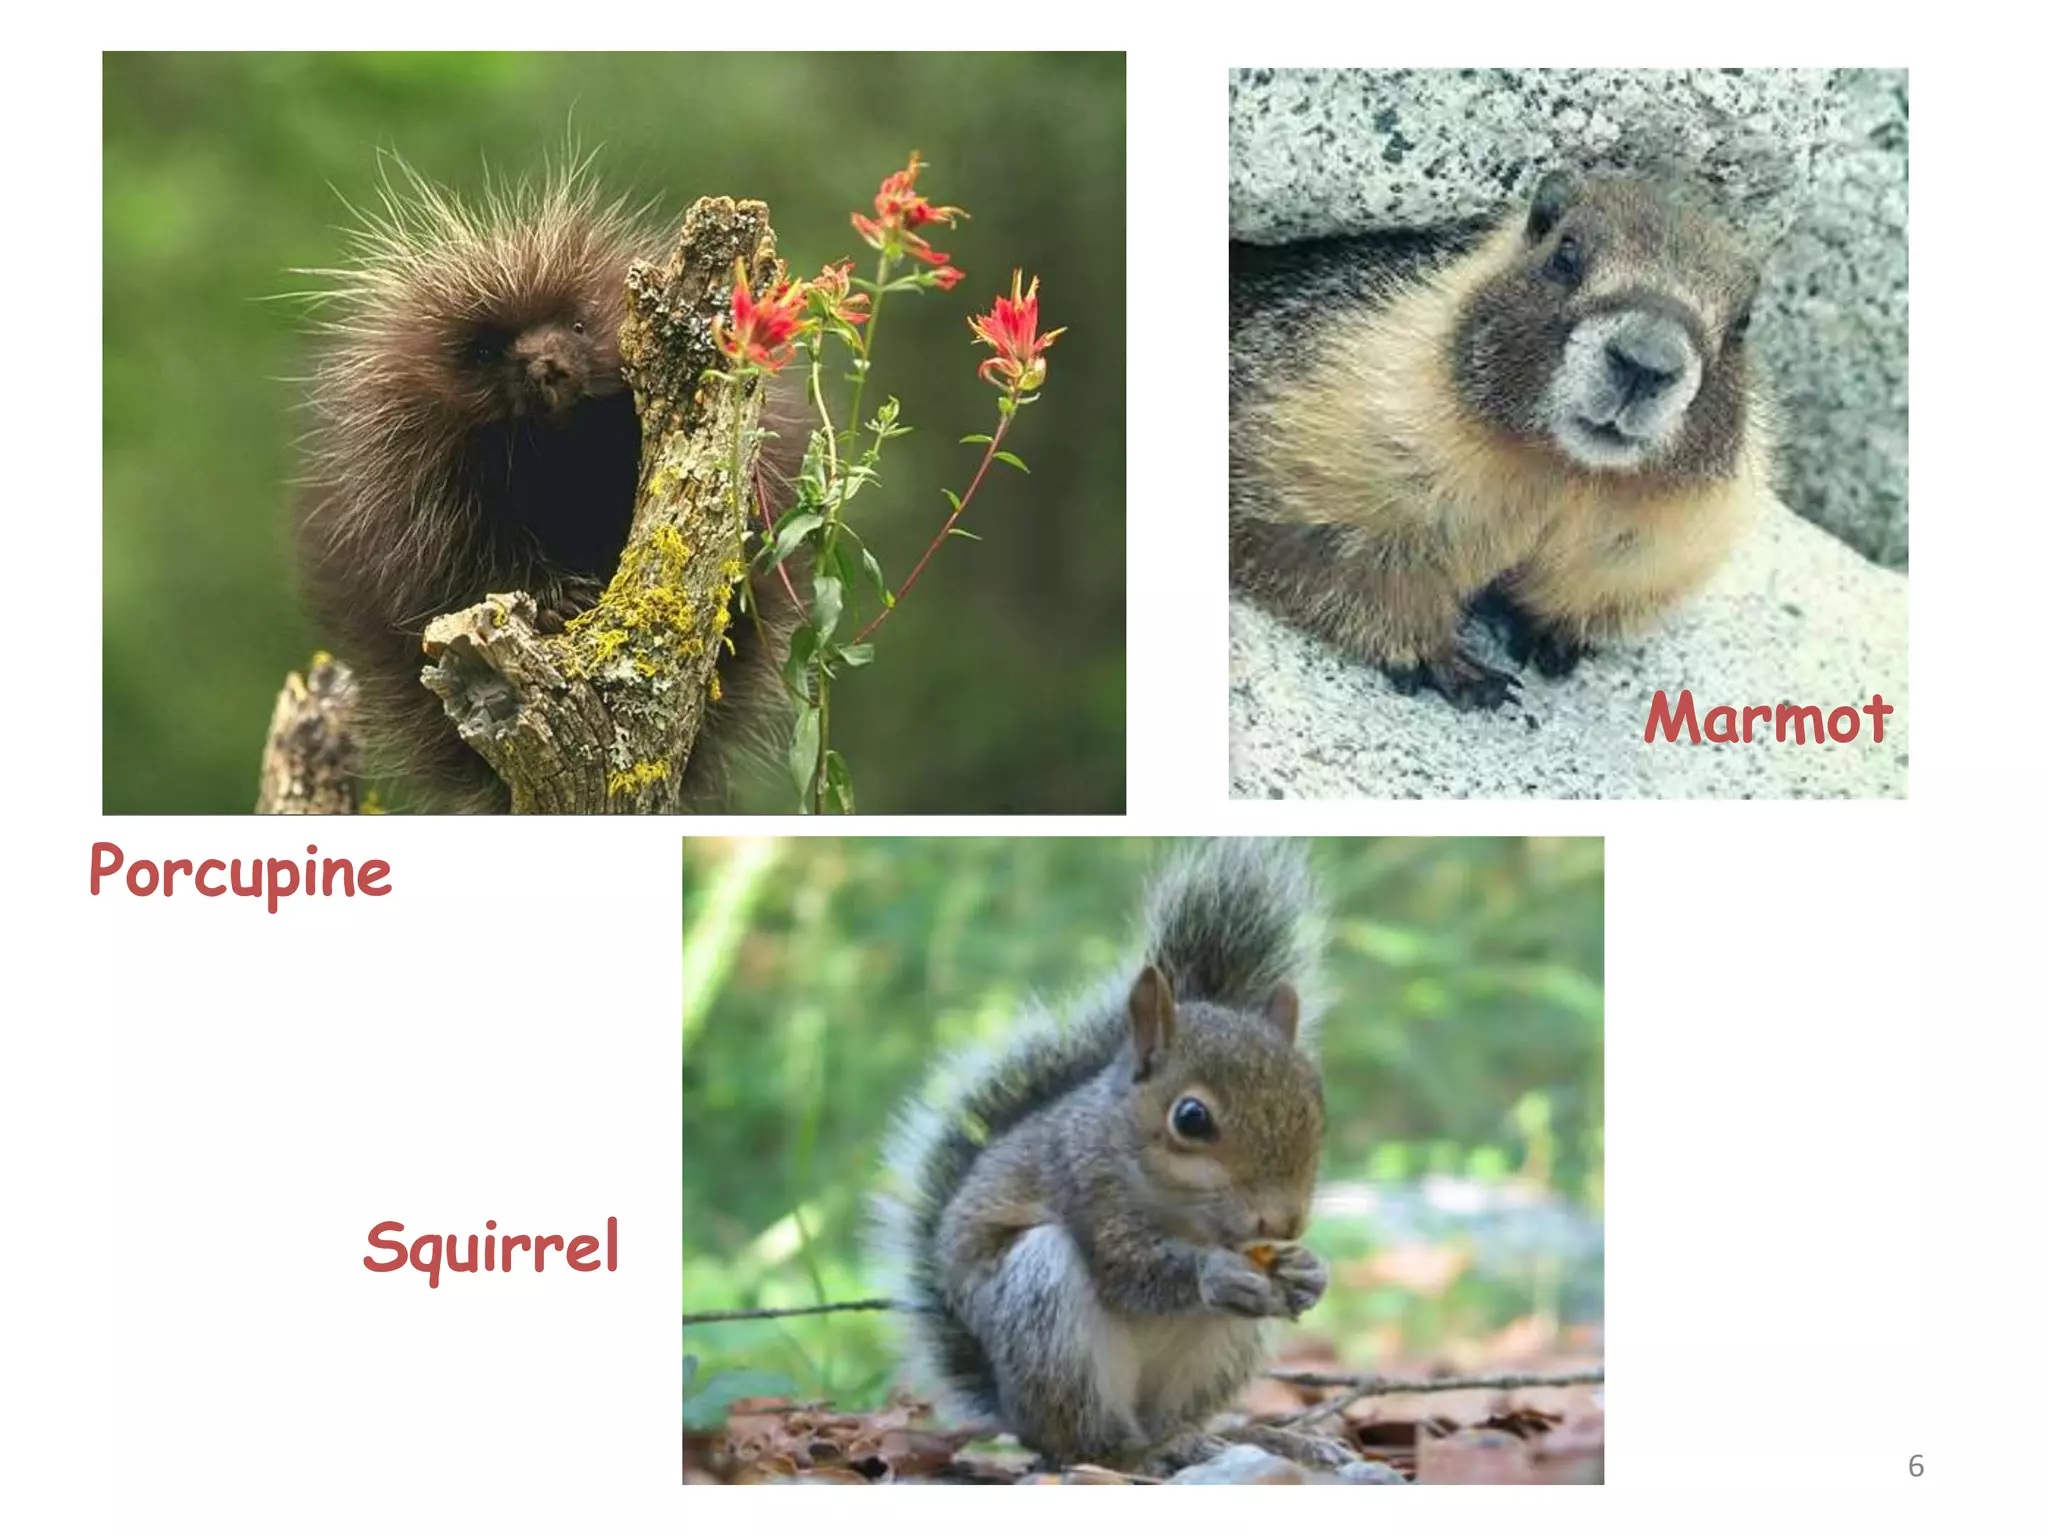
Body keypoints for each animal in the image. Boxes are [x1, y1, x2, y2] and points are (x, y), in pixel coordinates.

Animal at [870, 840, 1351, 1473]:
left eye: (1316, 1103)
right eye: (1190, 1118)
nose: (1284, 1222)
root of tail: (1014, 1413)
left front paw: (1310, 1271)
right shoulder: (1083, 1184)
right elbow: (1128, 1269)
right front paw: (1214, 1274)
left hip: (1220, 1354)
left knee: (1178, 1420)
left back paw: (1251, 1440)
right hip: (1043, 1308)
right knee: (1093, 1443)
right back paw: (1144, 1454)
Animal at [1231, 168, 1769, 710]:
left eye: (1743, 321)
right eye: (1565, 255)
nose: (1646, 361)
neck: (1561, 471)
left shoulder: (1663, 535)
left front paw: (1556, 638)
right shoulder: (1355, 416)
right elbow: (1336, 544)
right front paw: (1453, 665)